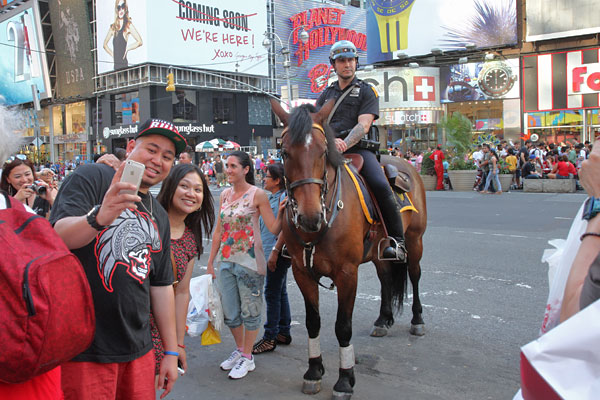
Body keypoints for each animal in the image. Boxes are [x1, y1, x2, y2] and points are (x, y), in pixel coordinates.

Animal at [271, 99, 427, 400]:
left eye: (323, 152)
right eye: (284, 152)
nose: (309, 217)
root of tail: (404, 163)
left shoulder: (347, 274)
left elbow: (343, 327)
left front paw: (345, 380)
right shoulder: (301, 272)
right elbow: (313, 322)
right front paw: (314, 370)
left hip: (414, 242)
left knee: (414, 275)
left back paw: (417, 320)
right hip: (379, 250)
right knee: (386, 277)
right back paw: (383, 320)